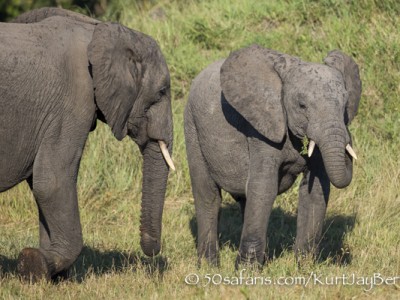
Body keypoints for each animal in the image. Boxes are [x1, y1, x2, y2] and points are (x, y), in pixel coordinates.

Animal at [0, 8, 175, 282]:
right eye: (161, 92)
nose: (154, 252)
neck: (97, 29)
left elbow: (40, 182)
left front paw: (53, 272)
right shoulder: (71, 102)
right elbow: (52, 181)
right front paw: (35, 265)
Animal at [185, 45, 362, 268]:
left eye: (345, 104)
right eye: (302, 105)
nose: (349, 139)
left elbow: (316, 190)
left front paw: (305, 266)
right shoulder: (262, 128)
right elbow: (263, 187)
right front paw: (247, 271)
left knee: (244, 199)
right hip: (192, 127)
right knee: (207, 195)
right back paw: (209, 266)